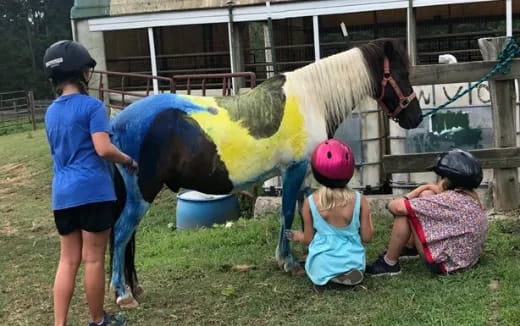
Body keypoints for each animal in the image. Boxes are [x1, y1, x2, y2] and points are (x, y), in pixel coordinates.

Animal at [109, 38, 422, 308]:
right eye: (401, 73)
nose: (415, 117)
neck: (312, 99)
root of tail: (115, 124)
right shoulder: (293, 169)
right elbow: (287, 213)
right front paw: (288, 262)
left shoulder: (303, 173)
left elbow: (302, 212)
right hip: (143, 193)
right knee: (122, 234)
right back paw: (124, 294)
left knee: (127, 237)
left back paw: (134, 288)